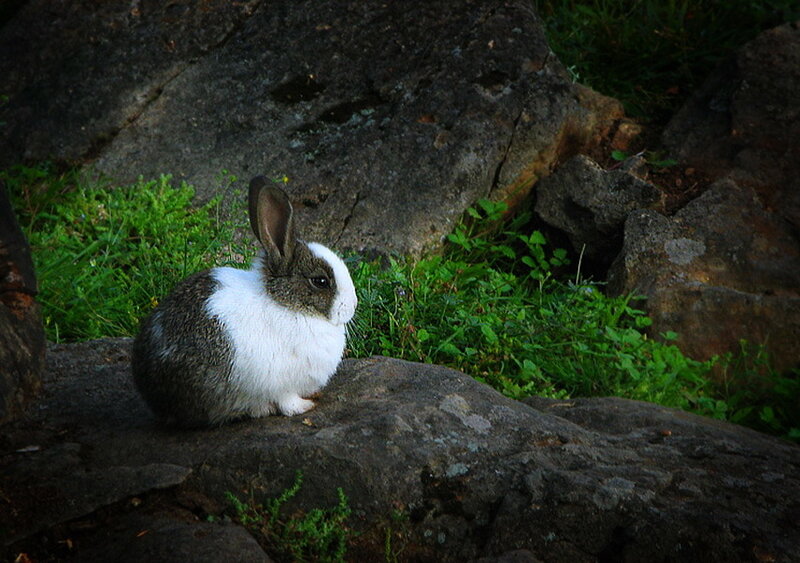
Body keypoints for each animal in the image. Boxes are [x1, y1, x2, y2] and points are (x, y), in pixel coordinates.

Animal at [132, 176, 357, 427]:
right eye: (321, 281)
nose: (353, 305)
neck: (288, 304)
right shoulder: (279, 383)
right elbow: (287, 401)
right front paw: (304, 407)